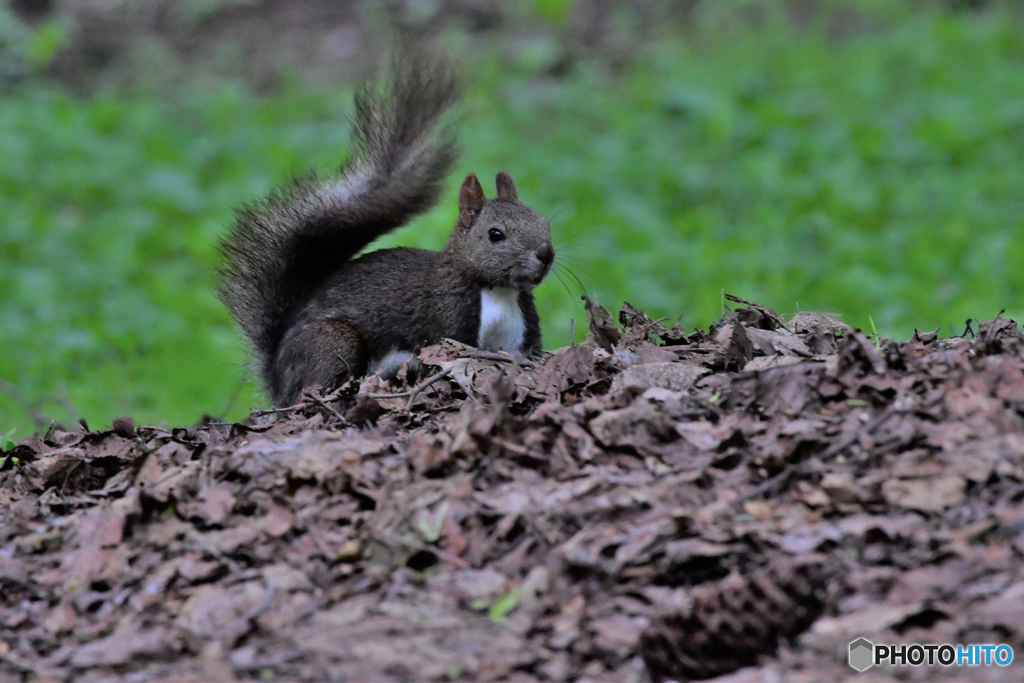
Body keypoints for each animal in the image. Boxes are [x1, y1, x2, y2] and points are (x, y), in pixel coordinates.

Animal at [216, 54, 552, 405]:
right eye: (495, 234)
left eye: (544, 223)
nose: (546, 254)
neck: (499, 292)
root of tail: (276, 373)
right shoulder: (446, 320)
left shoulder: (520, 334)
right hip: (333, 342)